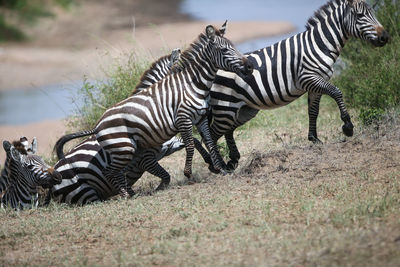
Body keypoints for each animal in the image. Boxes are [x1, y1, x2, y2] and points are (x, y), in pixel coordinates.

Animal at [54, 22, 252, 199]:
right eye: (225, 50)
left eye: (234, 47)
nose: (249, 66)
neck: (194, 84)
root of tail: (97, 126)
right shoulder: (183, 119)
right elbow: (190, 145)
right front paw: (188, 172)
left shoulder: (200, 118)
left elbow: (208, 142)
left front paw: (219, 169)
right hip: (124, 149)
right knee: (109, 171)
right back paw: (125, 195)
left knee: (114, 172)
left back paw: (128, 194)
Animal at [195, 0, 390, 172]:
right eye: (360, 15)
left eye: (373, 13)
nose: (385, 37)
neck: (320, 45)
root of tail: (212, 72)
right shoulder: (309, 78)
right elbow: (337, 92)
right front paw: (348, 126)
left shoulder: (315, 85)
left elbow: (313, 111)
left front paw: (314, 139)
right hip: (225, 107)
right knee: (211, 134)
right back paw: (217, 166)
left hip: (243, 109)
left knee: (227, 131)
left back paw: (232, 161)